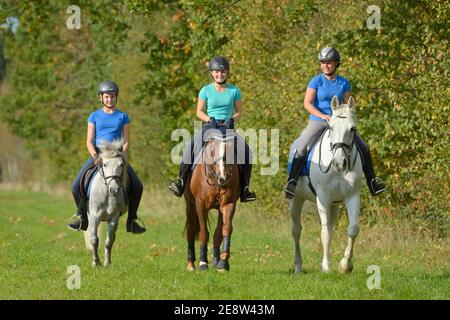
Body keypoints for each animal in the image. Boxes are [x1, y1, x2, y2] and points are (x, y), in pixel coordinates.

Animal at [84, 140, 128, 268]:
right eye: (104, 164)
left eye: (121, 164)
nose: (114, 189)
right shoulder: (94, 217)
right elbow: (94, 239)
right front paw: (95, 262)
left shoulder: (114, 218)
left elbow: (109, 241)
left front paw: (107, 262)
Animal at [184, 126, 241, 272]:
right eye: (213, 151)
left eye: (231, 149)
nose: (223, 177)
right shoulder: (200, 204)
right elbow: (203, 233)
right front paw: (203, 263)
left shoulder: (228, 204)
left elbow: (225, 230)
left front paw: (222, 262)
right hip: (190, 205)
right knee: (191, 231)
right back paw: (191, 264)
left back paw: (216, 261)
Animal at [290, 96, 364, 274]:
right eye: (330, 127)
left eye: (352, 129)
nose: (339, 163)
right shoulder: (322, 198)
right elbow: (325, 233)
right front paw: (326, 267)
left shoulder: (352, 196)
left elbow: (353, 229)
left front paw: (345, 265)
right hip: (297, 198)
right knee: (296, 230)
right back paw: (298, 266)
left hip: (334, 205)